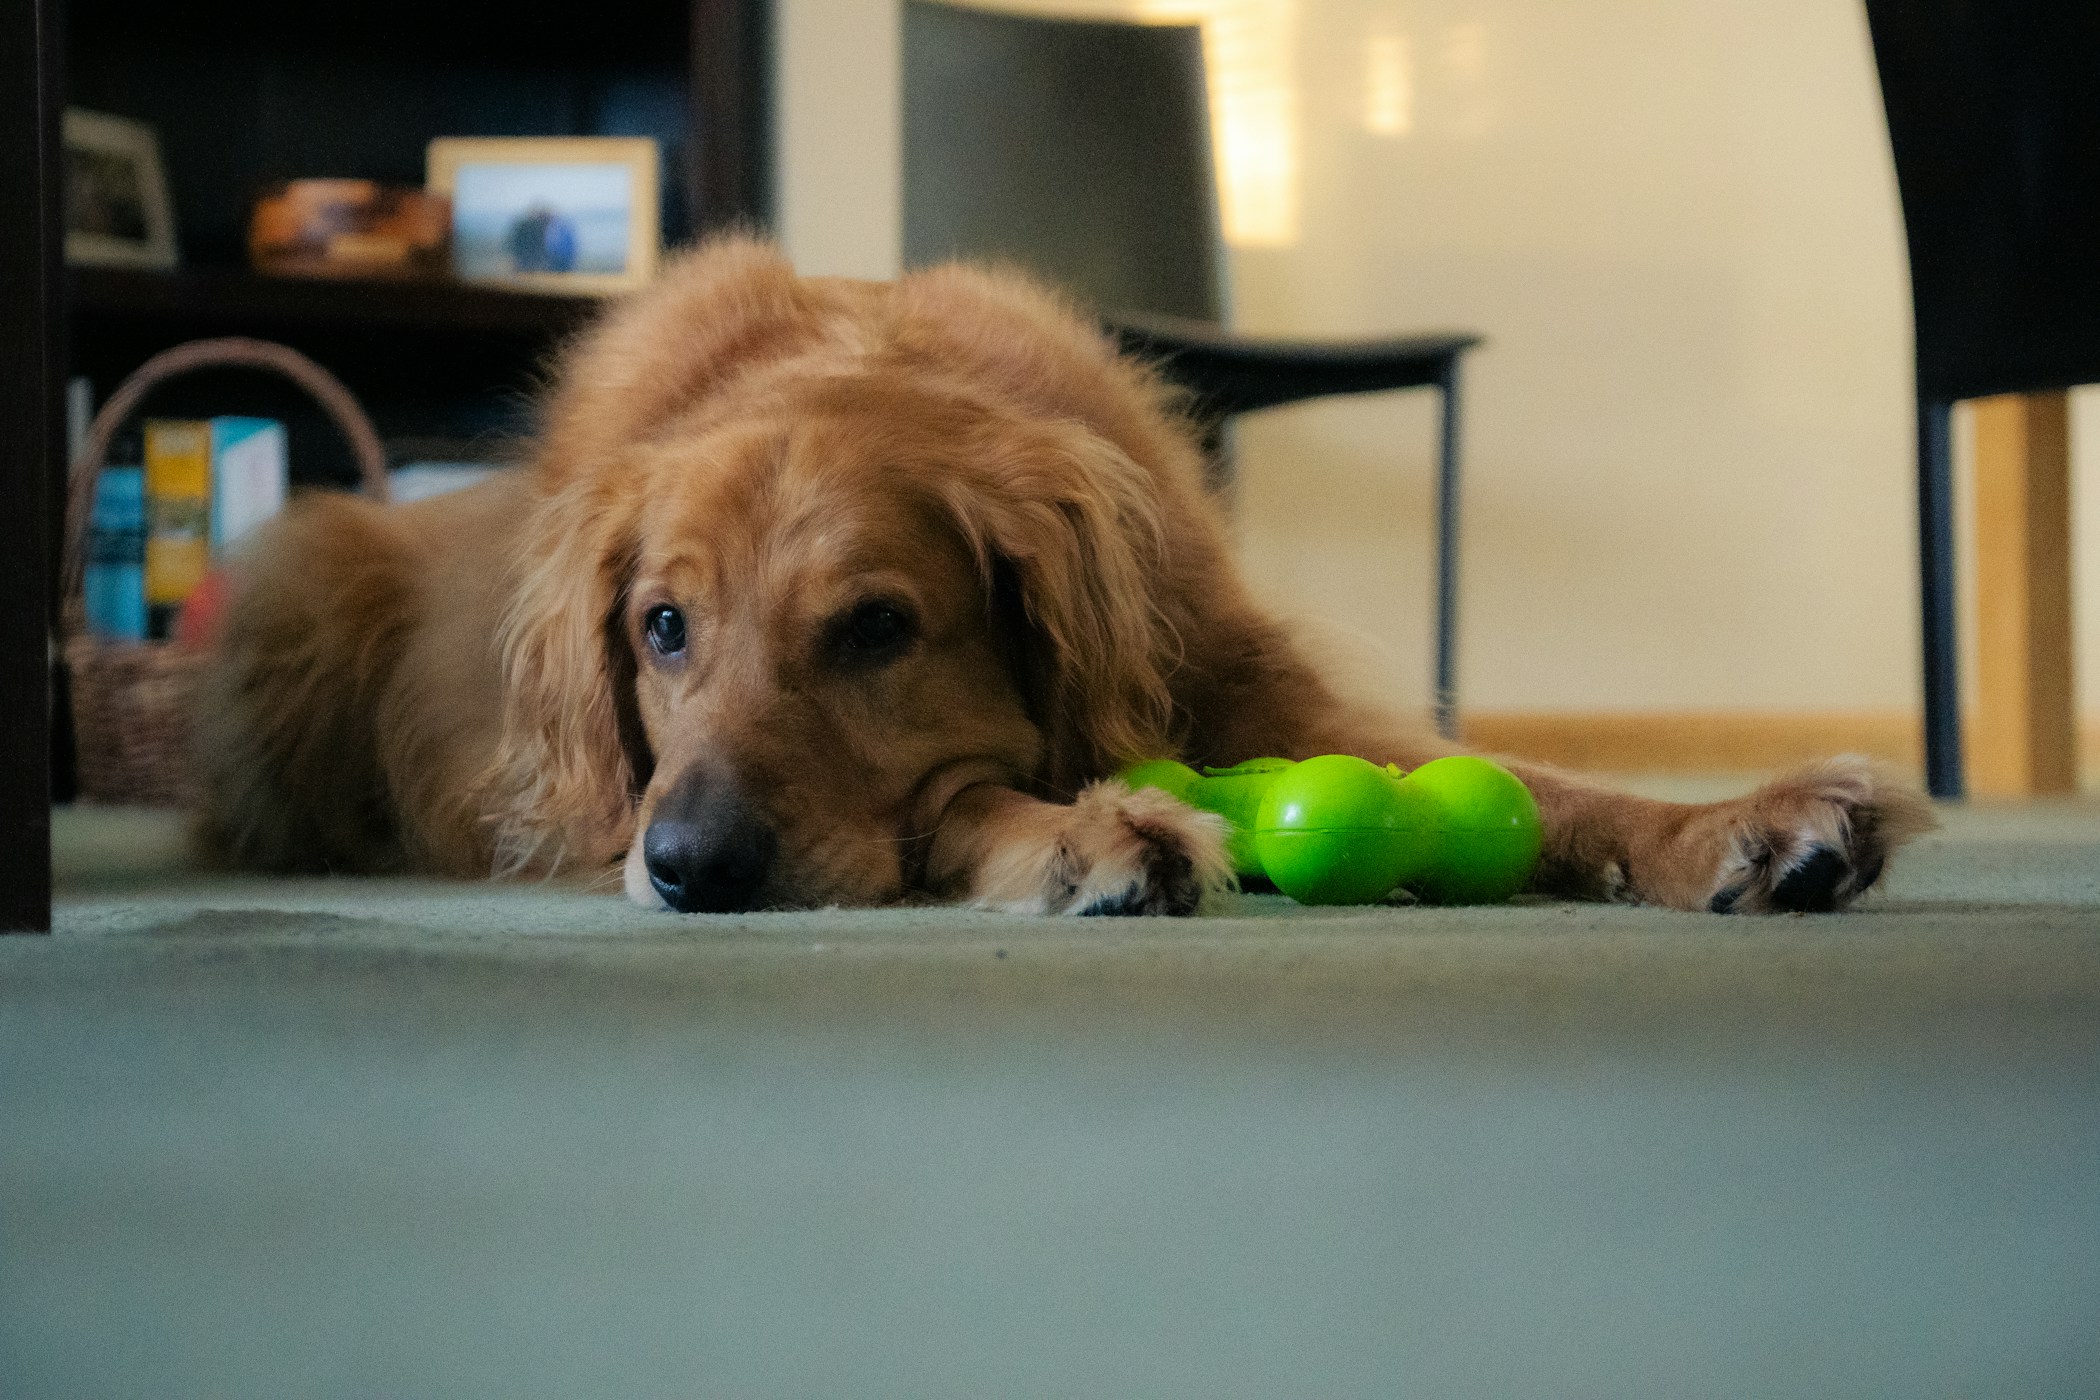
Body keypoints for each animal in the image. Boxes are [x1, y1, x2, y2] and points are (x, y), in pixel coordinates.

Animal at [197, 238, 1931, 919]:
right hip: (300, 581)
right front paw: (1088, 832)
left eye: (877, 629)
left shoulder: (1244, 677)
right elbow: (966, 794)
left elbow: (1539, 783)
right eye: (662, 629)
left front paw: (1740, 818)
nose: (683, 865)